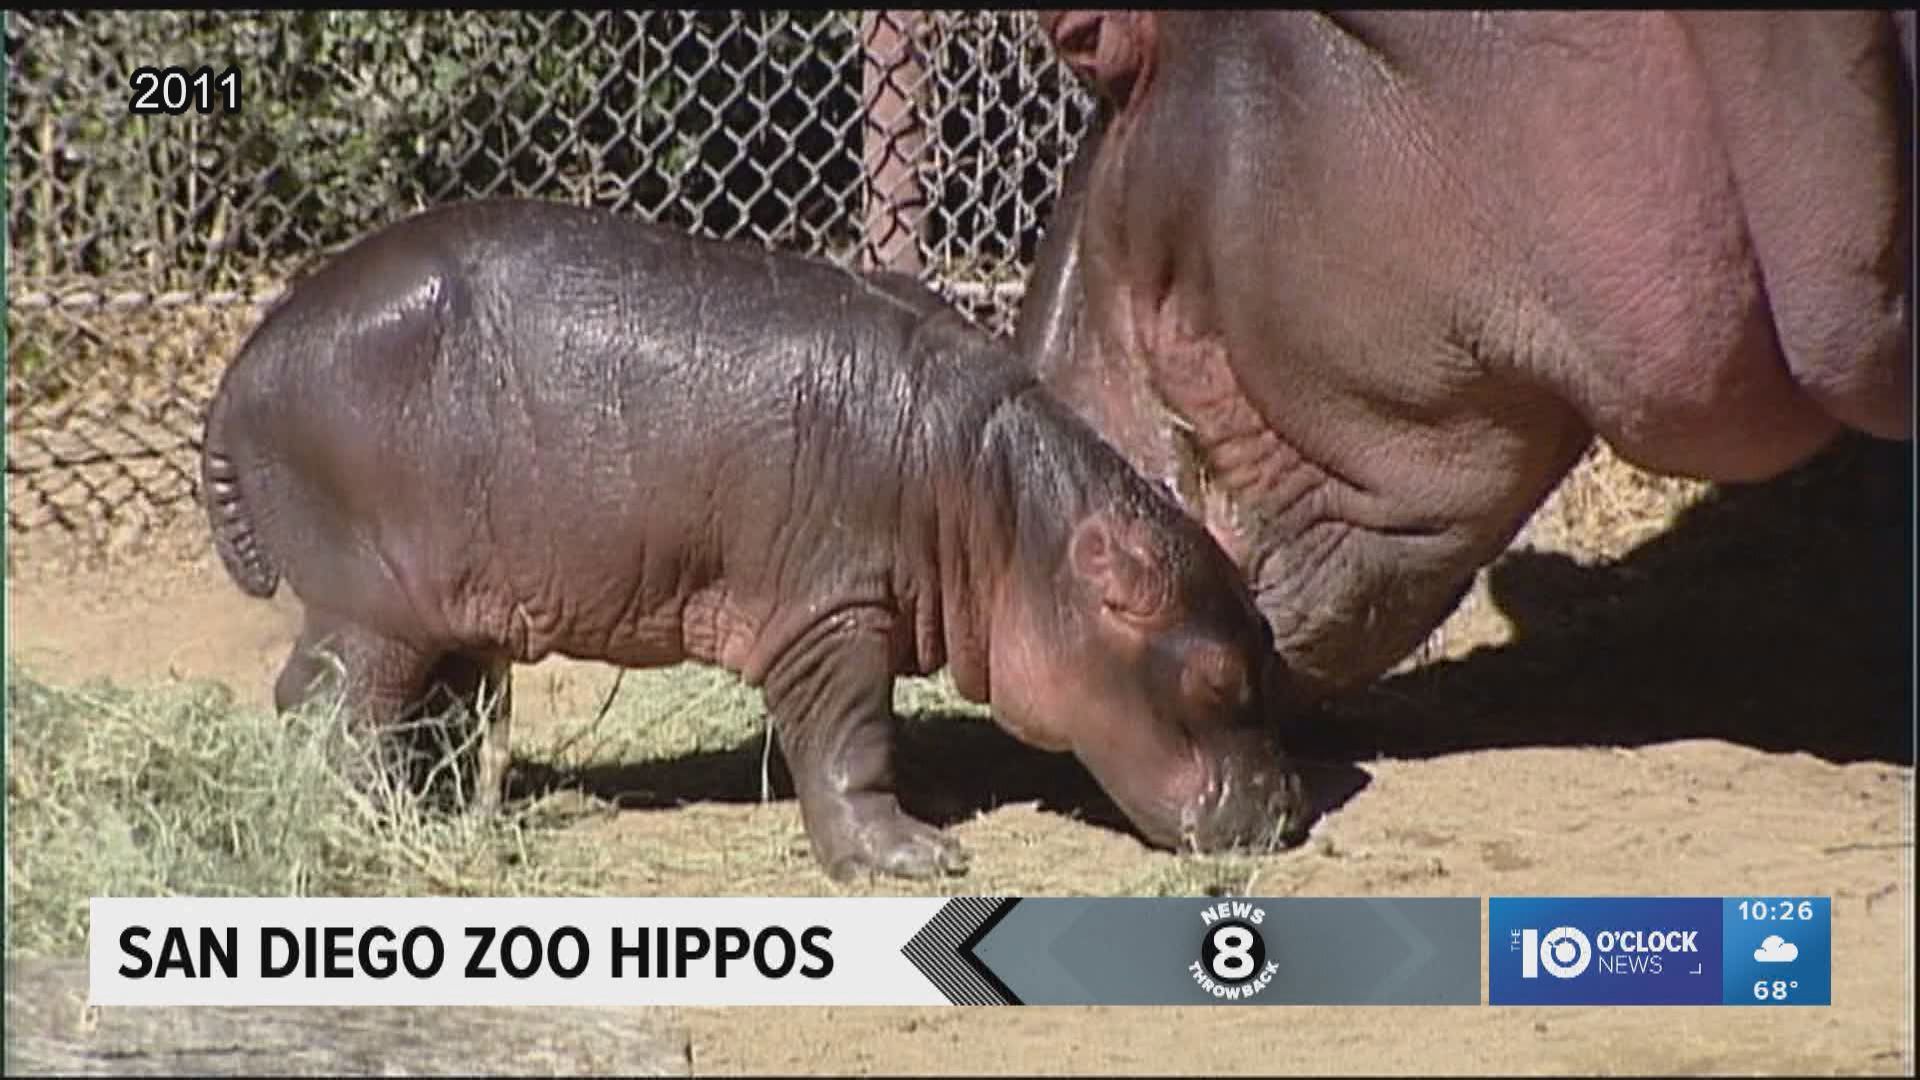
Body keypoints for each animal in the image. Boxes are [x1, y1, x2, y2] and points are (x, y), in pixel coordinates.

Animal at [198, 197, 1305, 880]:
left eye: (1270, 649)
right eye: (1218, 679)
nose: (1292, 808)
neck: (1006, 510)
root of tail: (243, 367)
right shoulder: (833, 612)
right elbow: (853, 737)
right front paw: (914, 858)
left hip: (449, 611)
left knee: (433, 712)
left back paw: (442, 817)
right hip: (369, 601)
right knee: (330, 707)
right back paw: (366, 829)